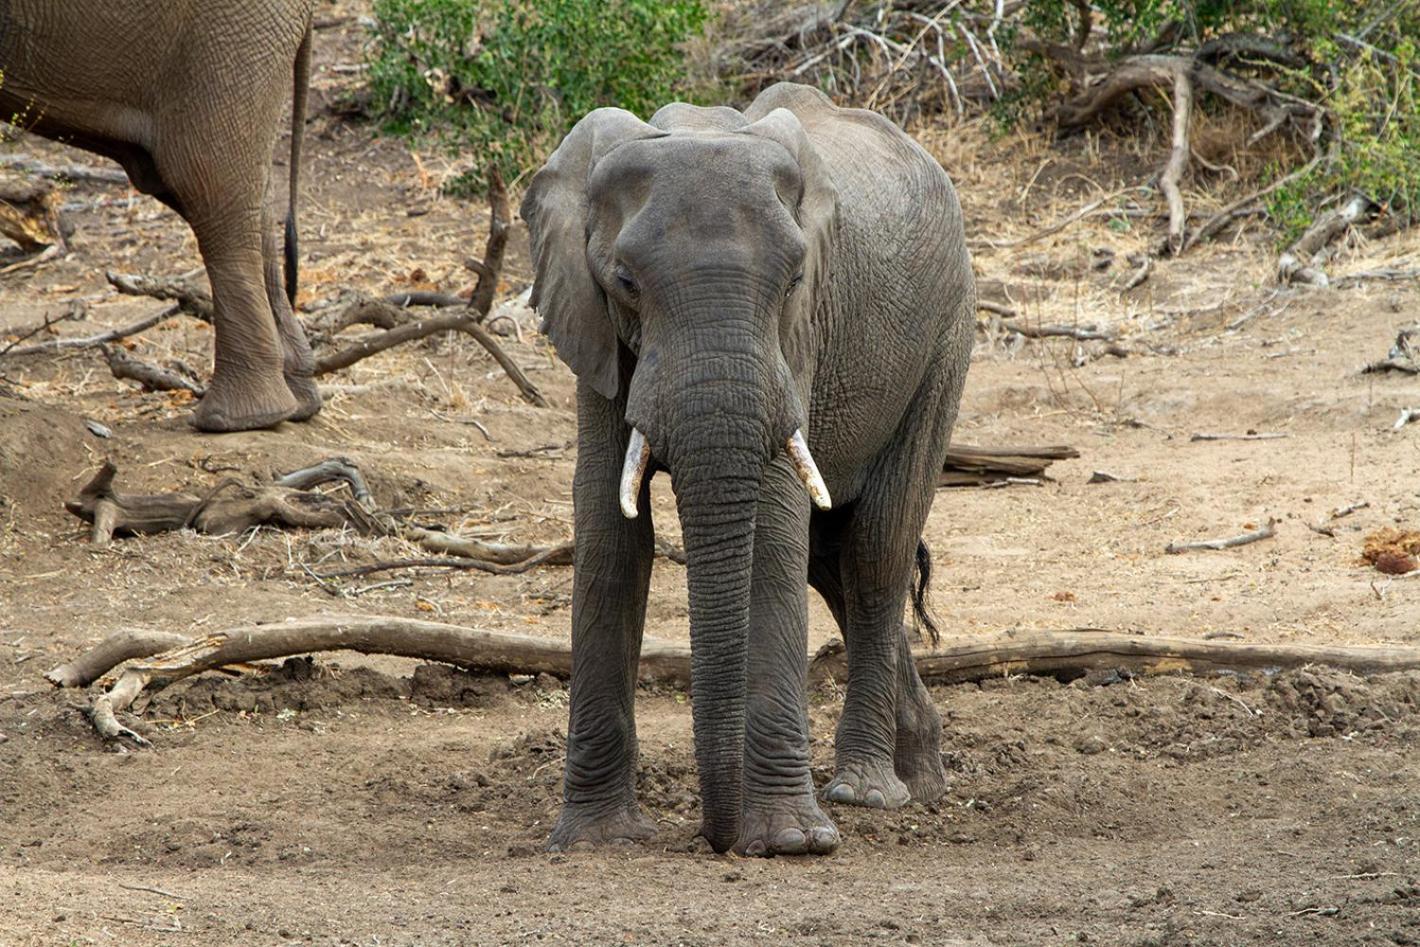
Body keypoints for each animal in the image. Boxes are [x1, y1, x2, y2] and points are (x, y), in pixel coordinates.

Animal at [522, 81, 976, 857]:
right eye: (623, 281)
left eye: (794, 279)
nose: (718, 839)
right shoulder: (593, 329)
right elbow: (609, 529)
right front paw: (595, 842)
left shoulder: (800, 335)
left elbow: (774, 520)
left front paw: (793, 843)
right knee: (830, 560)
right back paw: (920, 776)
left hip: (948, 336)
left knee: (875, 553)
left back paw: (868, 792)